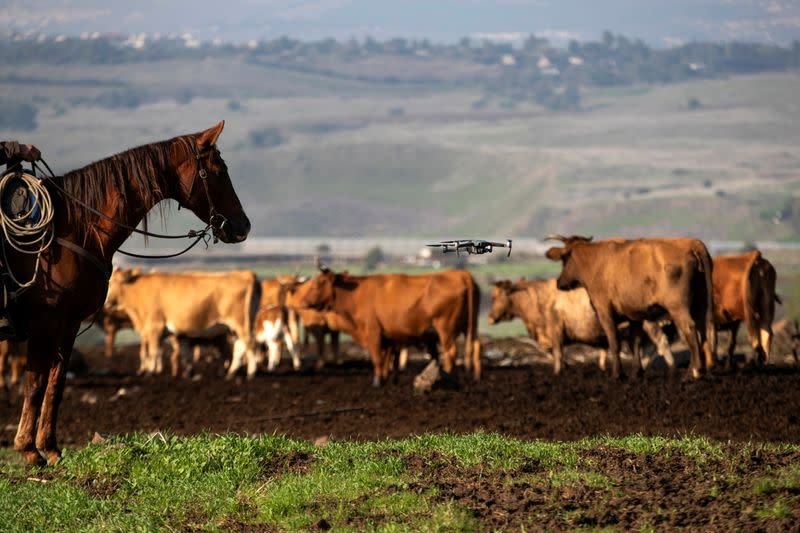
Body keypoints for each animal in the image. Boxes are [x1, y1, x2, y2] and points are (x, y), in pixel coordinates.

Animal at [104, 270, 260, 378]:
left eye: (113, 281)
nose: (106, 302)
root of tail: (246, 274)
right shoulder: (181, 334)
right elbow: (184, 354)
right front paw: (187, 373)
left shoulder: (155, 327)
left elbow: (153, 351)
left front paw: (150, 372)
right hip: (236, 328)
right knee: (240, 347)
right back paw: (231, 373)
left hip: (241, 323)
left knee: (250, 343)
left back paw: (251, 372)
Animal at [290, 266, 478, 386]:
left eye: (319, 282)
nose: (303, 302)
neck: (357, 294)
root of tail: (462, 274)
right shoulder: (389, 337)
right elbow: (389, 358)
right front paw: (388, 378)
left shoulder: (373, 332)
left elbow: (377, 357)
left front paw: (377, 381)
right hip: (469, 327)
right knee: (475, 347)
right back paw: (475, 376)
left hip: (445, 328)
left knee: (451, 352)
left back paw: (449, 376)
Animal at [548, 234, 716, 378]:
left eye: (564, 259)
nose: (559, 283)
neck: (595, 261)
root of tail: (691, 243)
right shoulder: (634, 314)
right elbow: (635, 341)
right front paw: (636, 372)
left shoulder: (604, 310)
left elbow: (614, 342)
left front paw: (617, 374)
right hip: (700, 303)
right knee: (701, 331)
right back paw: (698, 369)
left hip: (678, 307)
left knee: (690, 330)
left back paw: (693, 372)